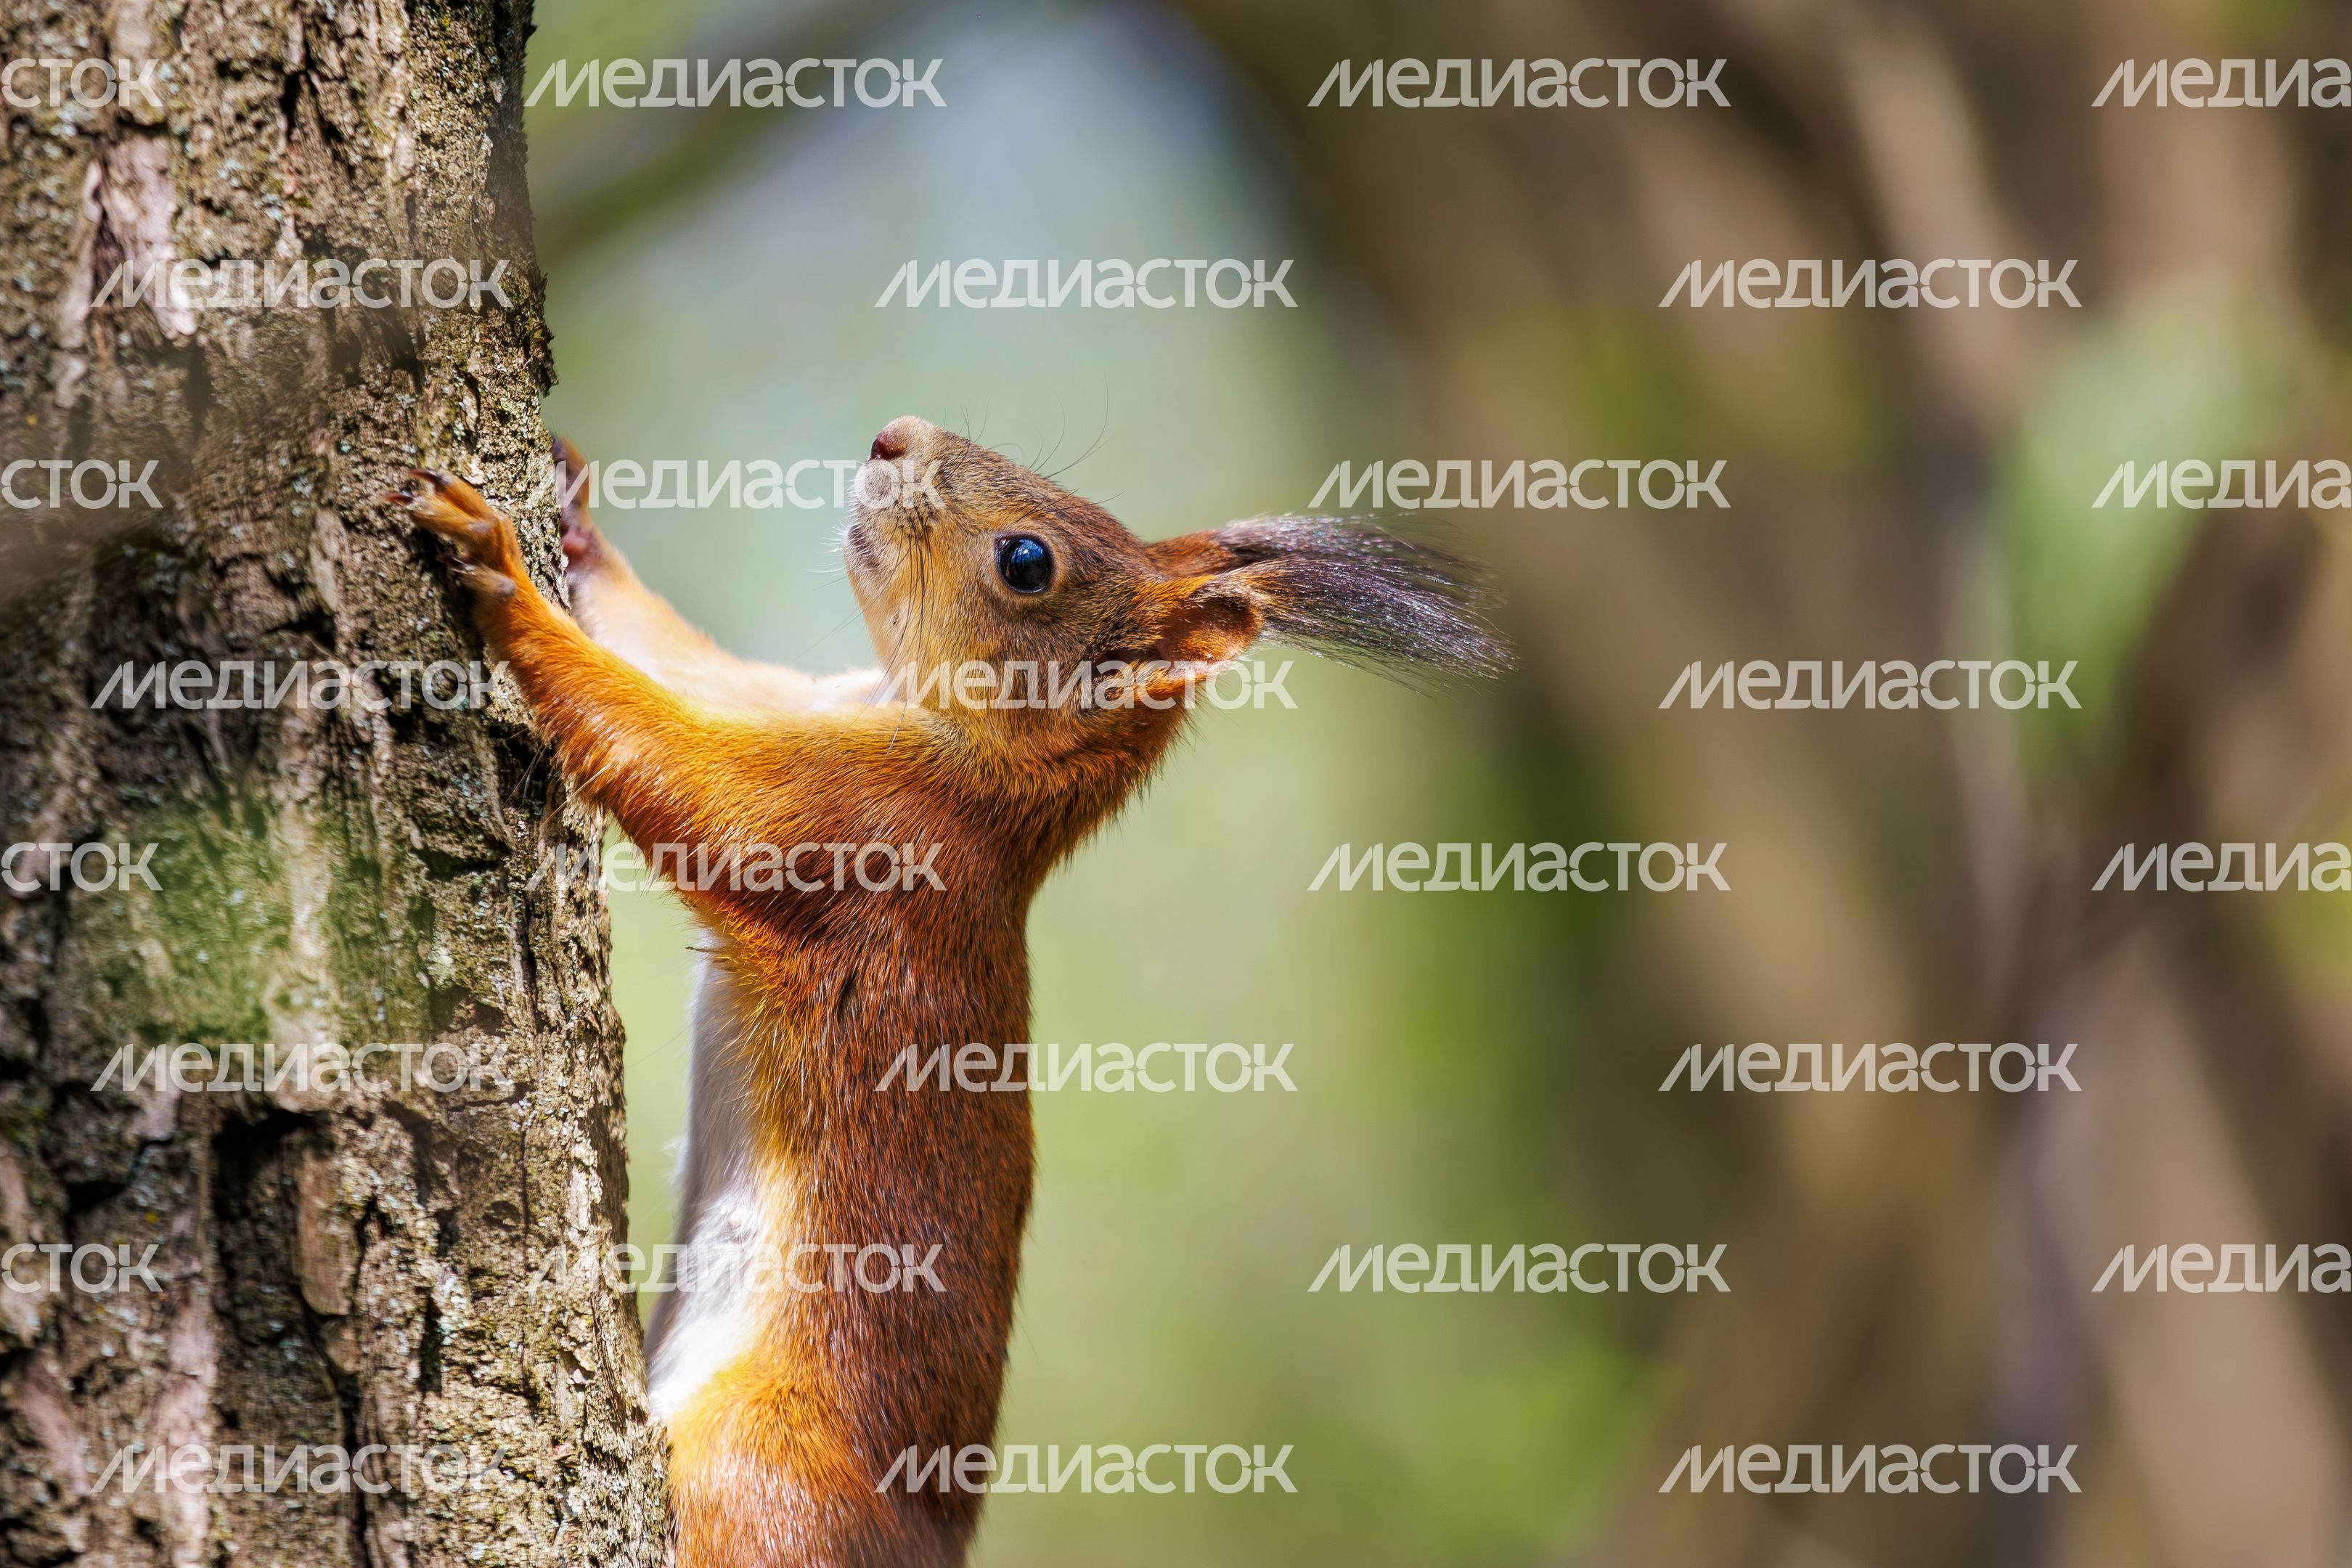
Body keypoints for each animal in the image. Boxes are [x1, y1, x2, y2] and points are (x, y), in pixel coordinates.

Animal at [396, 415, 1505, 1568]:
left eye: (1027, 562)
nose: (897, 436)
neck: (981, 767)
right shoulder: (812, 704)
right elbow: (687, 665)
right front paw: (571, 518)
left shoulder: (863, 828)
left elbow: (676, 765)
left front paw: (503, 577)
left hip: (754, 1480)